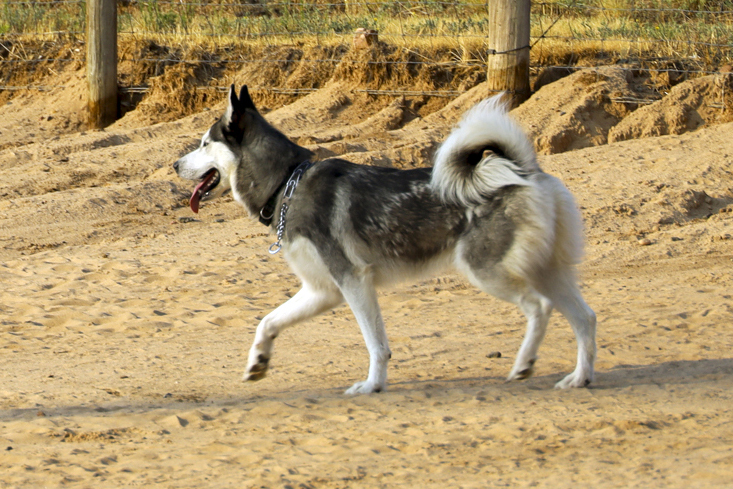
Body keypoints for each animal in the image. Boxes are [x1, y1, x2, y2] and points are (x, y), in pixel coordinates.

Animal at [176, 86, 596, 392]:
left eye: (204, 143)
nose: (175, 164)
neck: (288, 182)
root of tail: (525, 172)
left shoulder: (353, 281)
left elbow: (376, 345)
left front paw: (372, 385)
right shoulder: (322, 291)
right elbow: (267, 322)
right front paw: (258, 362)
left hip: (488, 272)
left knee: (539, 307)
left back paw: (524, 364)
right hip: (547, 272)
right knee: (585, 318)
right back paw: (580, 377)